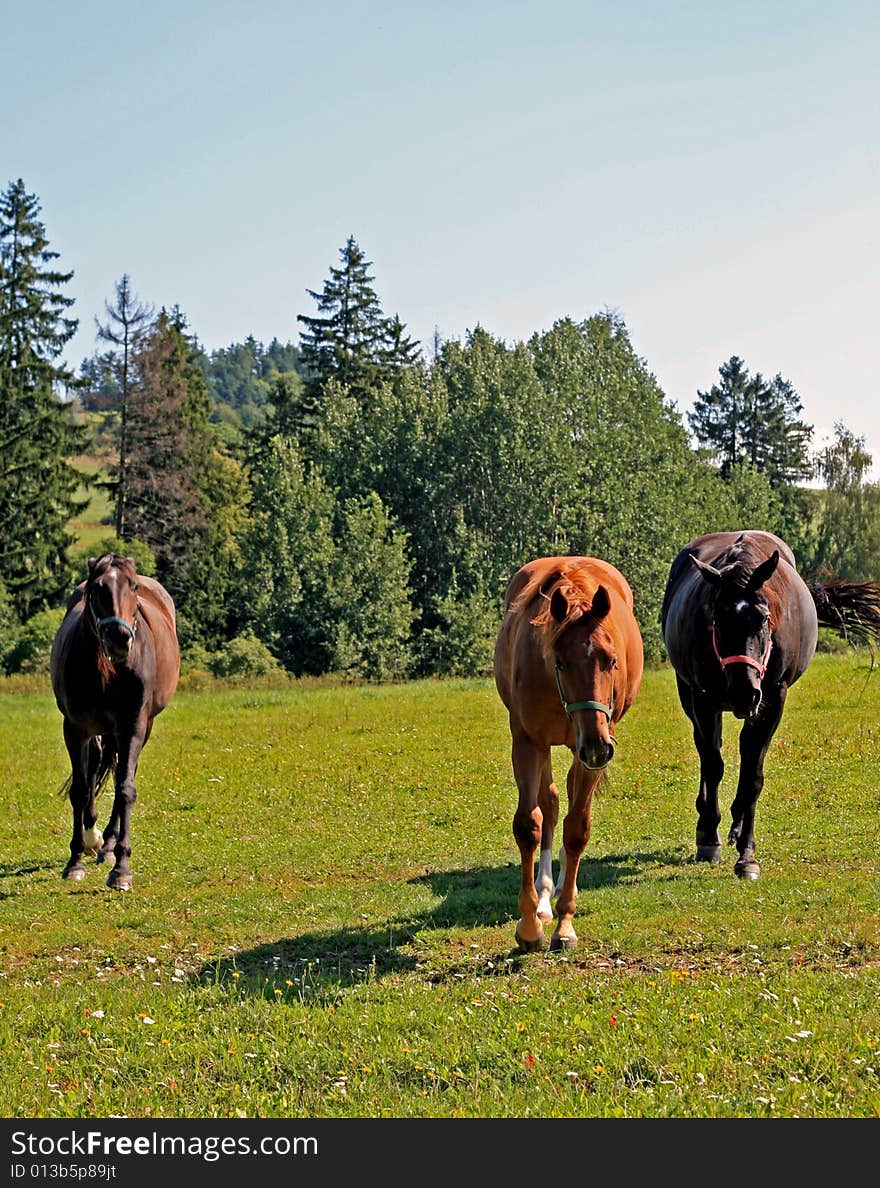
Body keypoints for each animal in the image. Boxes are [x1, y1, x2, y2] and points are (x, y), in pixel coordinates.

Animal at [49, 555, 180, 893]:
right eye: (97, 588)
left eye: (132, 587)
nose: (120, 639)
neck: (107, 670)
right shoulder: (75, 729)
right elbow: (81, 789)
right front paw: (75, 860)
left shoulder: (132, 727)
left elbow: (125, 790)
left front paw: (121, 867)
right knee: (96, 770)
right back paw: (95, 837)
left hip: (139, 729)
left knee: (122, 775)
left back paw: (108, 844)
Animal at [494, 551, 646, 950]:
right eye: (560, 662)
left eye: (611, 660)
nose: (596, 745)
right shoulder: (528, 741)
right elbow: (530, 823)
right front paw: (530, 925)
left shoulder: (593, 748)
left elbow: (577, 828)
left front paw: (565, 925)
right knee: (549, 802)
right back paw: (546, 894)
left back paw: (564, 886)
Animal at [660, 534, 878, 879]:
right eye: (717, 619)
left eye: (762, 618)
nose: (743, 691)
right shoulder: (702, 699)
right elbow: (713, 764)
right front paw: (709, 838)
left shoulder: (773, 699)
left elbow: (752, 775)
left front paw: (746, 855)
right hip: (691, 697)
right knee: (708, 751)